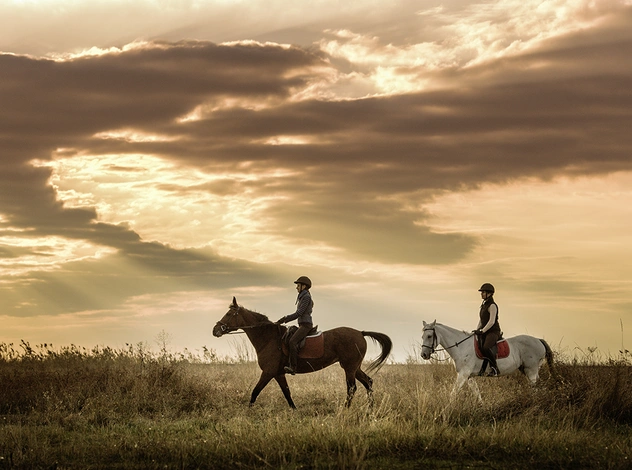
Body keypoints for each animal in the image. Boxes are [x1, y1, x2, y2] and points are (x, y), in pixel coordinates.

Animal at [212, 298, 390, 408]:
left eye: (229, 314)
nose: (215, 330)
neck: (269, 338)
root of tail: (360, 333)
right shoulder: (278, 373)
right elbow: (286, 393)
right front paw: (294, 410)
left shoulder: (268, 372)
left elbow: (255, 391)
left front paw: (247, 410)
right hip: (354, 367)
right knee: (368, 382)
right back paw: (370, 409)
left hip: (349, 368)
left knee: (352, 388)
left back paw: (346, 409)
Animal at [422, 320, 556, 396]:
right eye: (422, 336)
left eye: (429, 336)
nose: (423, 355)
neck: (461, 346)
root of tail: (538, 340)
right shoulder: (469, 376)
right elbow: (477, 394)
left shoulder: (463, 374)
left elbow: (453, 393)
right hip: (527, 370)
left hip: (531, 370)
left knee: (535, 389)